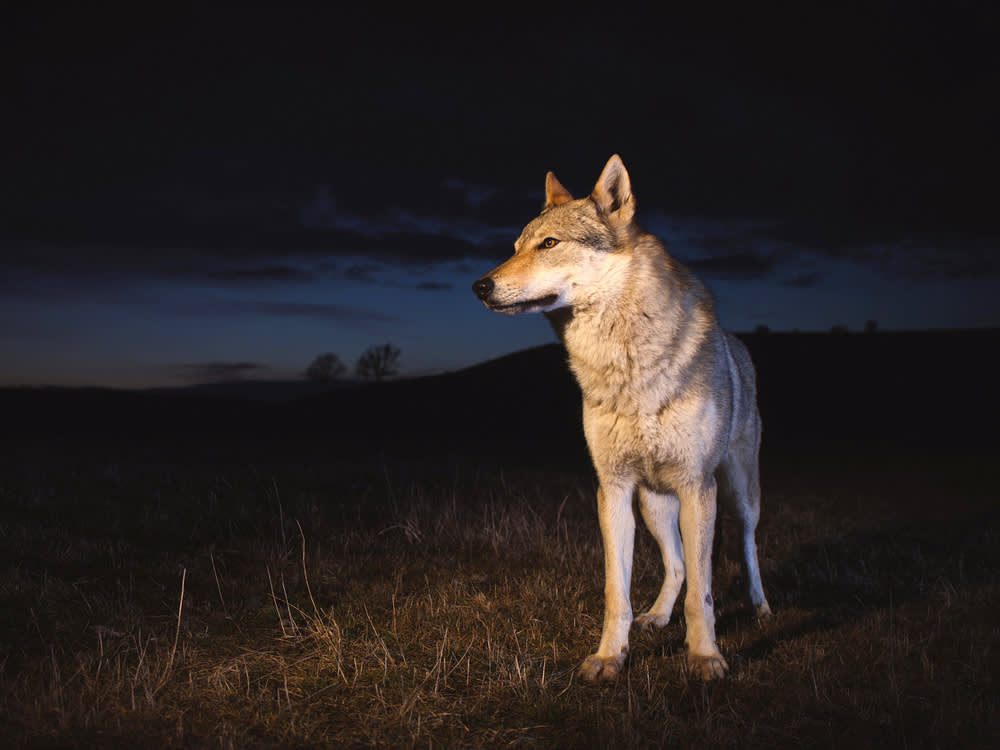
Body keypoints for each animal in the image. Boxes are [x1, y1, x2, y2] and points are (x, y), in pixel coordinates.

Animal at [472, 155, 771, 681]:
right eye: (515, 248)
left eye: (549, 244)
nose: (480, 285)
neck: (624, 364)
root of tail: (737, 343)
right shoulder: (612, 488)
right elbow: (619, 590)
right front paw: (610, 657)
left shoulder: (697, 486)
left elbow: (704, 593)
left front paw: (705, 657)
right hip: (654, 502)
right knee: (676, 565)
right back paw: (657, 616)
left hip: (736, 492)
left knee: (748, 547)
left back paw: (759, 608)